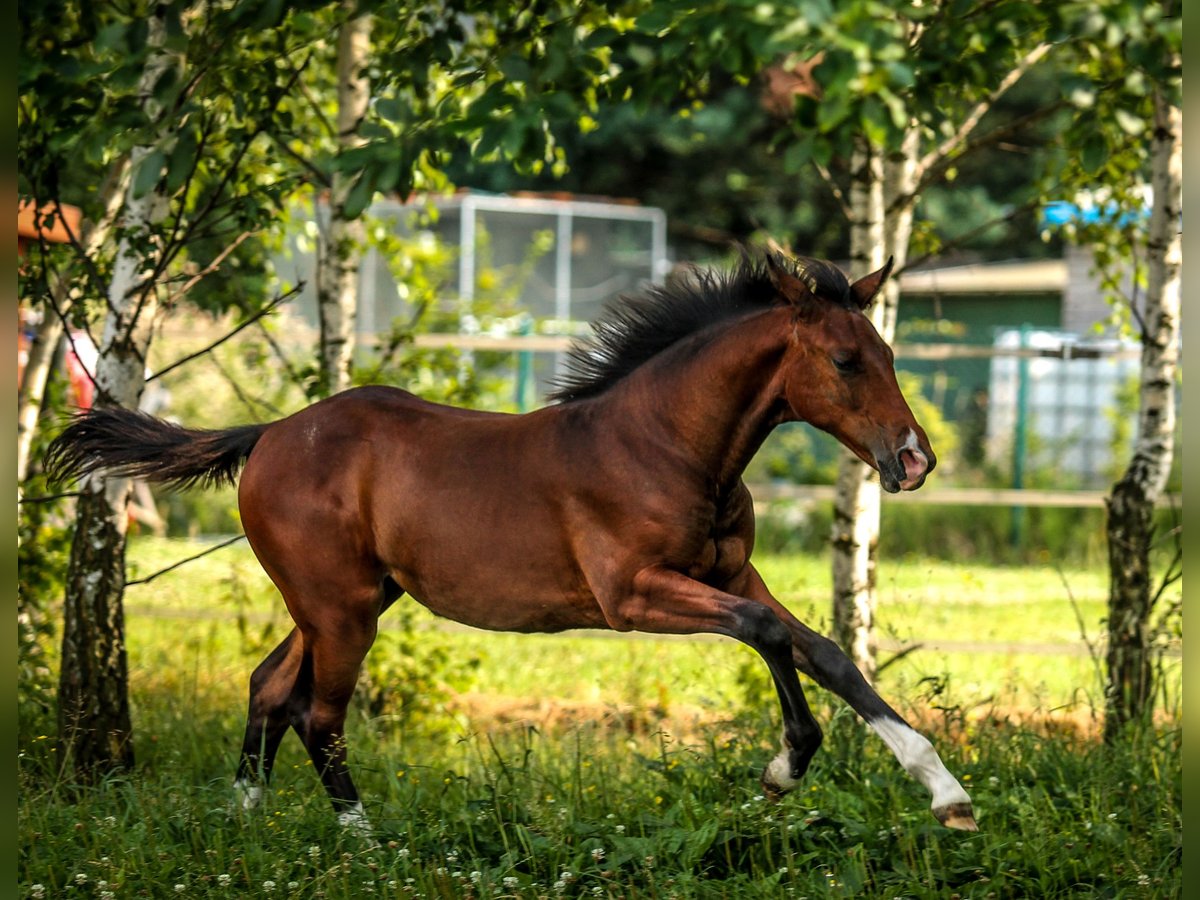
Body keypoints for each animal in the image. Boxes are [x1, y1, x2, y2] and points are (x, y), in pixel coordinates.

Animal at [49, 252, 974, 830]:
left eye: (889, 352)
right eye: (846, 360)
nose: (915, 458)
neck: (665, 444)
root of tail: (269, 432)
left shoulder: (732, 574)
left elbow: (825, 650)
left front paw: (943, 789)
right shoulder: (633, 594)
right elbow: (772, 635)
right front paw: (787, 767)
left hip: (343, 599)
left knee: (269, 687)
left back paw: (245, 818)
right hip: (342, 610)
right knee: (318, 712)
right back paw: (364, 841)